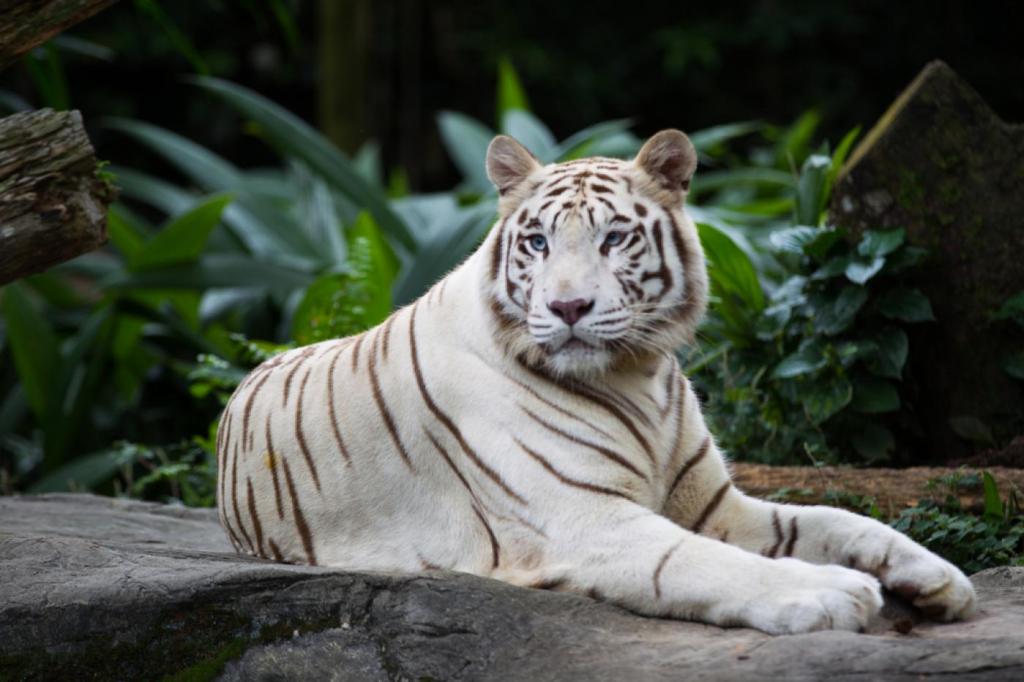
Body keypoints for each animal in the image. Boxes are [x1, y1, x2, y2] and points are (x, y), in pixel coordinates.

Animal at [218, 131, 974, 630]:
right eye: (537, 243)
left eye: (613, 238)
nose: (568, 307)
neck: (637, 376)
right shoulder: (584, 519)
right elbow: (706, 563)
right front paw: (832, 595)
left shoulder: (714, 505)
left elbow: (834, 518)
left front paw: (941, 577)